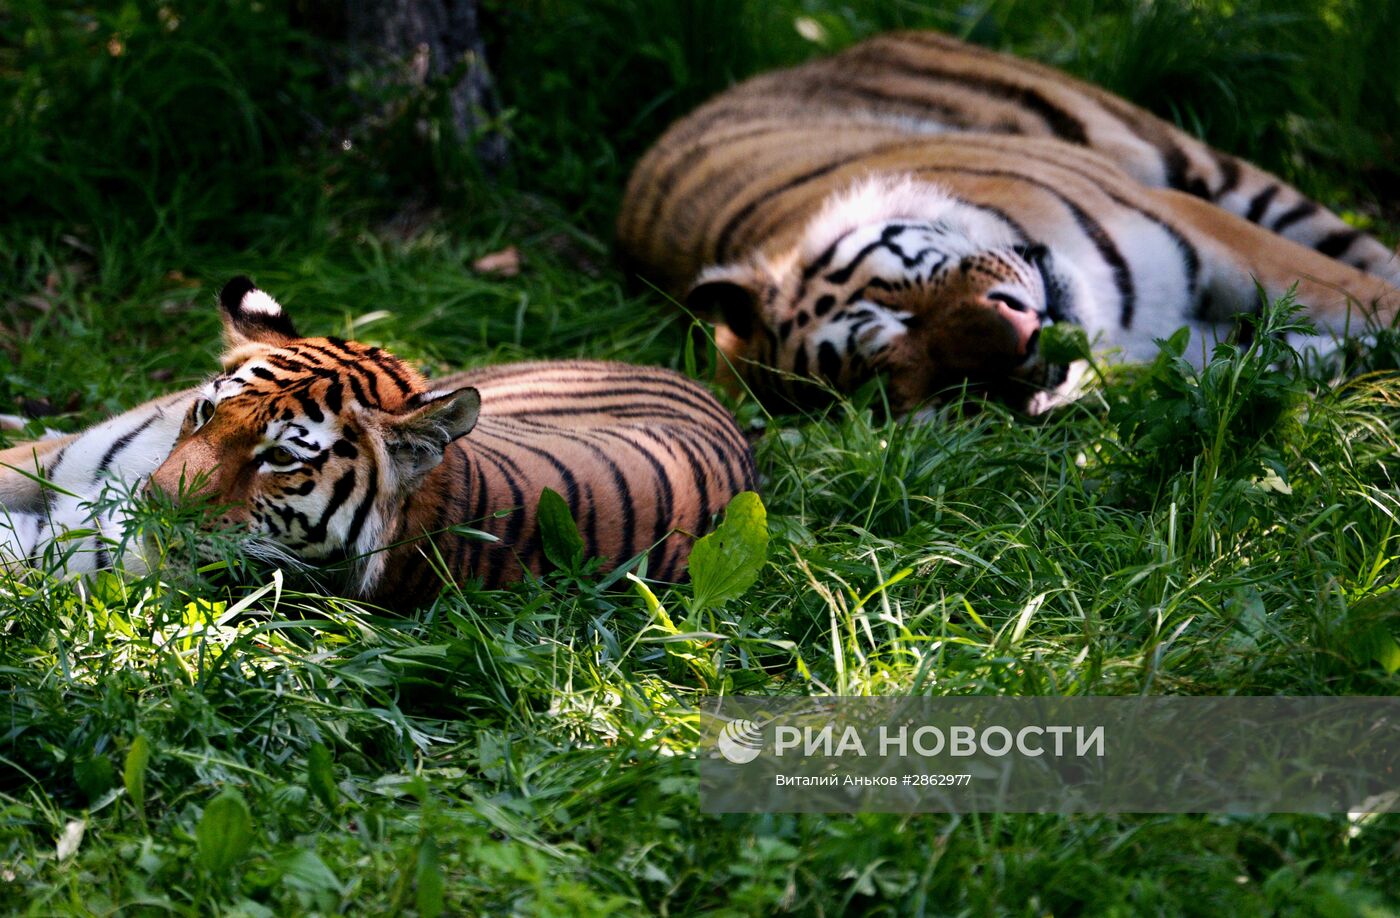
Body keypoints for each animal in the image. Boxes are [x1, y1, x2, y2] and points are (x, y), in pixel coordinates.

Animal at [618, 30, 1400, 414]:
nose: (1025, 337)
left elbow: (1369, 297)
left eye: (898, 308)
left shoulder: (1204, 230)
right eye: (942, 387)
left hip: (1203, 166)